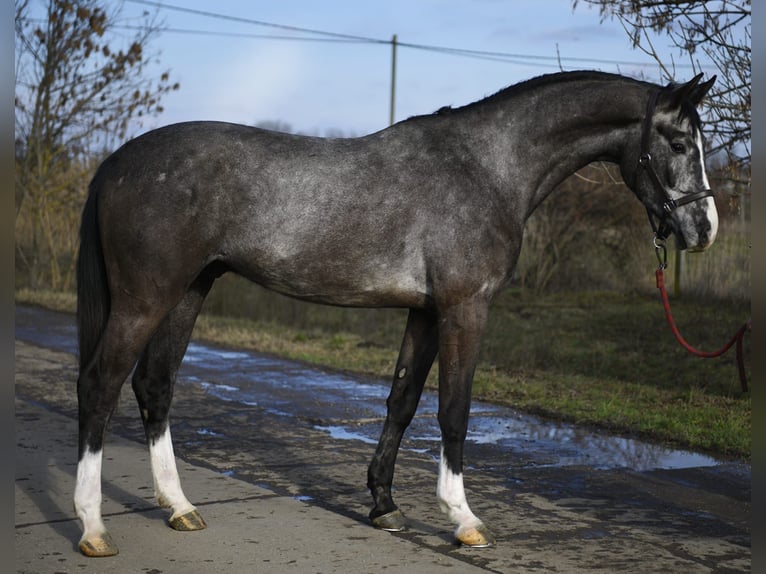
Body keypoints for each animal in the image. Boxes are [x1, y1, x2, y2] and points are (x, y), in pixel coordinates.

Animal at [73, 70, 717, 556]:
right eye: (680, 145)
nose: (706, 229)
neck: (488, 167)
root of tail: (116, 161)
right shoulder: (465, 308)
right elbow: (454, 411)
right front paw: (463, 518)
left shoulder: (426, 312)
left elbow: (403, 401)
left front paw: (383, 505)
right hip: (145, 299)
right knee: (100, 385)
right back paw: (93, 527)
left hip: (189, 291)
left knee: (155, 386)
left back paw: (179, 507)